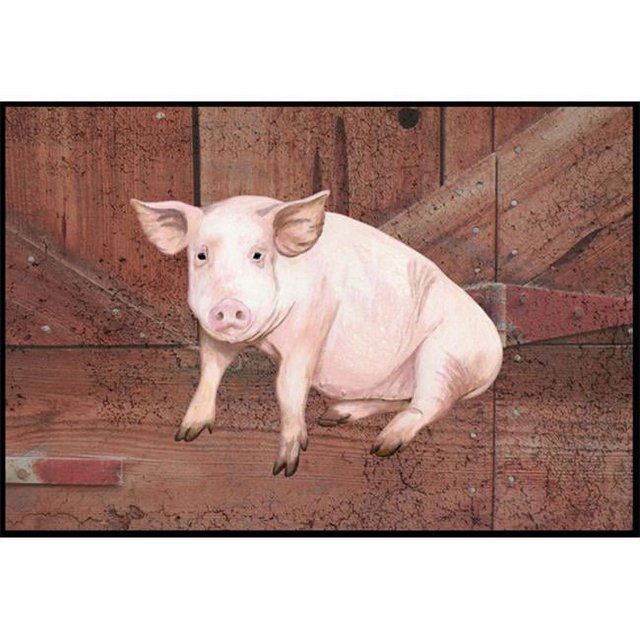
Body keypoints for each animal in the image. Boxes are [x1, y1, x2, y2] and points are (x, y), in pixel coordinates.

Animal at [130, 190, 503, 477]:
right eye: (201, 255)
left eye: (258, 254)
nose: (229, 306)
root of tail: (495, 353)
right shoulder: (213, 333)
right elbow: (210, 368)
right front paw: (186, 433)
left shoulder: (313, 324)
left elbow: (288, 386)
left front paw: (285, 467)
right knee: (408, 399)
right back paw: (335, 415)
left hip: (445, 354)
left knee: (430, 404)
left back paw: (382, 445)